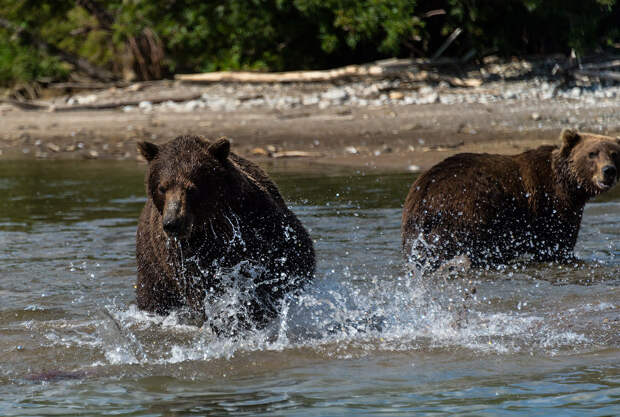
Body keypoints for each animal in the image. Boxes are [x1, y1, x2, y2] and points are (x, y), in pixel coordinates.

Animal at [138, 135, 318, 330]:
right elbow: (201, 288)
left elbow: (286, 264)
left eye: (191, 188)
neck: (211, 226)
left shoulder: (260, 224)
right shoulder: (181, 255)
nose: (172, 223)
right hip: (153, 266)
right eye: (162, 188)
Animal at [402, 127, 620, 270]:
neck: (570, 186)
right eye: (592, 153)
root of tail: (423, 189)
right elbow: (556, 244)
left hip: (416, 227)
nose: (608, 171)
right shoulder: (551, 206)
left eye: (614, 153)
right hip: (465, 212)